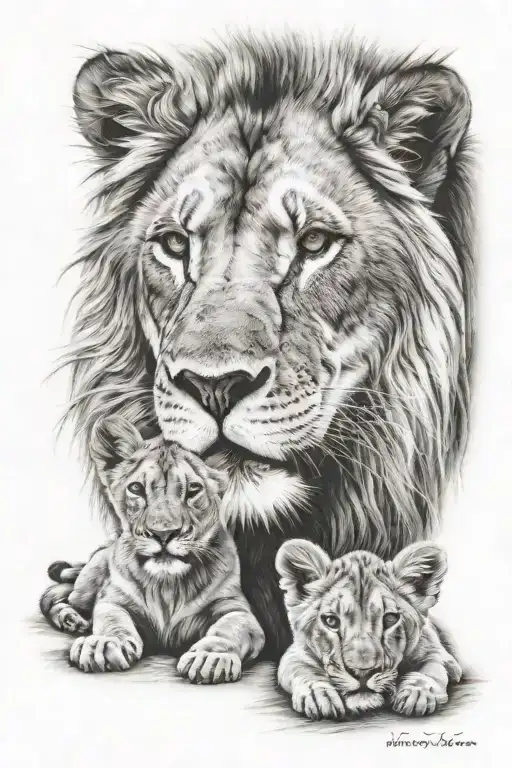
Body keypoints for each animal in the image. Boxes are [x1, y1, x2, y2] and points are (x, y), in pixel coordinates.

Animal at [40, 416, 265, 680]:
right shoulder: (113, 600)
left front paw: (210, 657)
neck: (167, 587)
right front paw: (103, 644)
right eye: (136, 488)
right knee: (56, 595)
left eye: (193, 490)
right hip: (89, 583)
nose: (163, 533)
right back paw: (71, 619)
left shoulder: (236, 609)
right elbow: (113, 620)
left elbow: (229, 629)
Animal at [276, 539, 462, 720]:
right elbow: (302, 670)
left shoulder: (441, 655)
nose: (363, 673)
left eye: (390, 619)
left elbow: (431, 669)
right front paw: (318, 695)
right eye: (331, 621)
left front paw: (416, 694)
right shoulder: (296, 653)